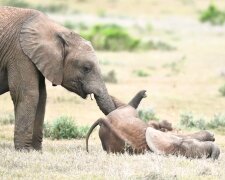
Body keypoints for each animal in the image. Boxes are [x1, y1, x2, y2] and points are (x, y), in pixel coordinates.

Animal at [0, 6, 116, 150]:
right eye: (86, 68)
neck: (58, 32)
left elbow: (42, 97)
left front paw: (36, 151)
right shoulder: (19, 53)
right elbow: (27, 94)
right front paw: (24, 151)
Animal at [85, 90, 220, 160]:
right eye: (185, 145)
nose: (212, 156)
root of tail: (103, 121)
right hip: (125, 115)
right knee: (128, 107)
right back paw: (142, 94)